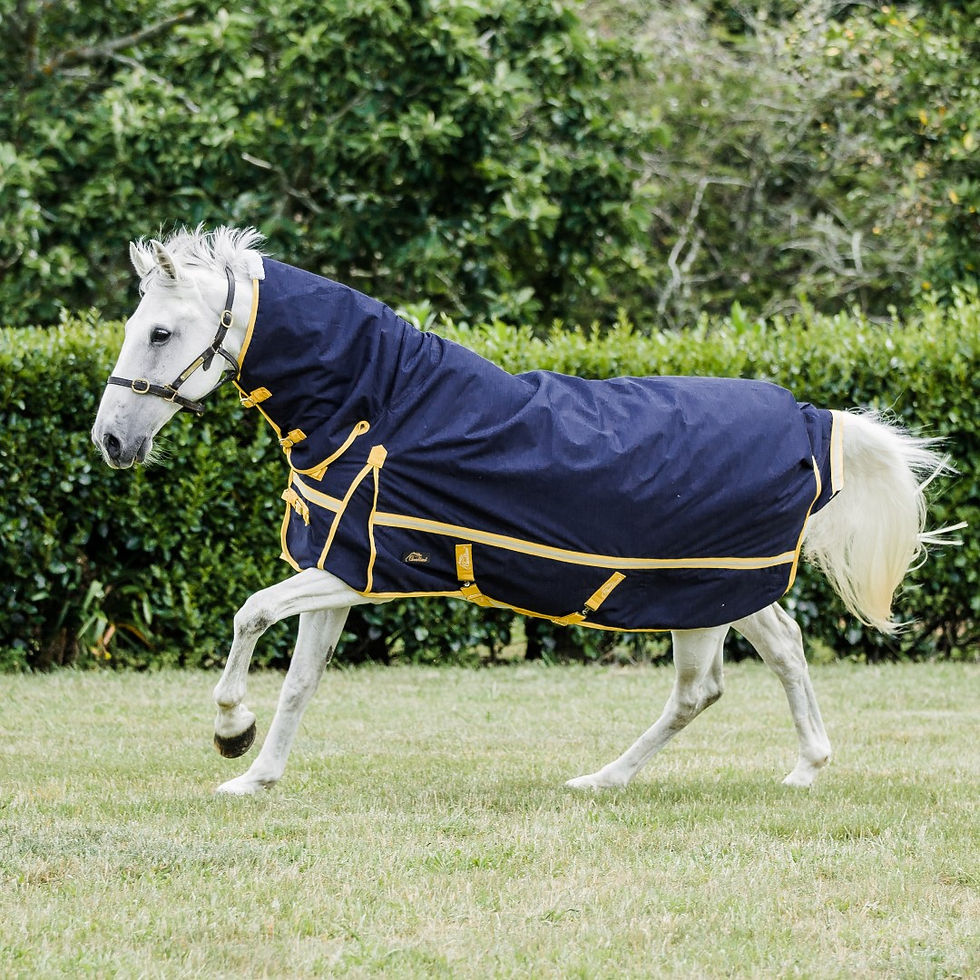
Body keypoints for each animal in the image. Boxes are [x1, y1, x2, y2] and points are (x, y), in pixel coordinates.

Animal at [92, 226, 955, 796]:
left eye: (160, 331)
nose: (109, 440)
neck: (380, 409)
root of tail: (808, 419)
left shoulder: (366, 571)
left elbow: (250, 614)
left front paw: (229, 733)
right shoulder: (339, 565)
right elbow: (301, 679)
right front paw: (256, 777)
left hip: (698, 597)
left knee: (700, 690)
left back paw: (606, 779)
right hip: (729, 593)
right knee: (780, 651)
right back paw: (793, 768)